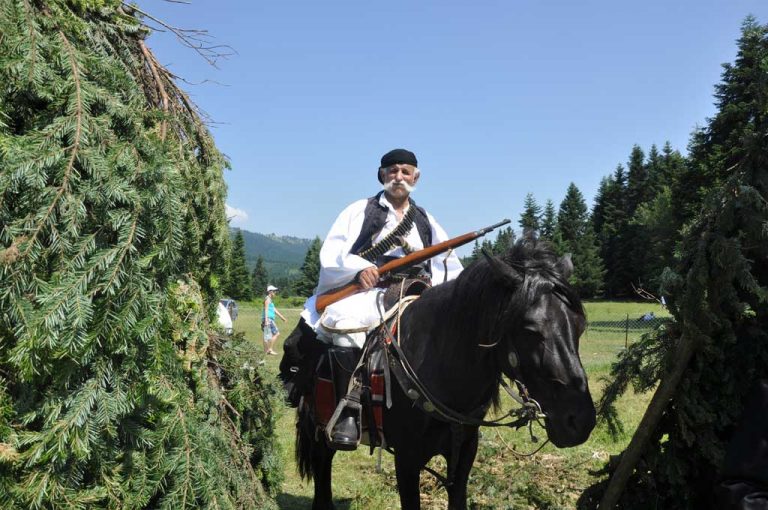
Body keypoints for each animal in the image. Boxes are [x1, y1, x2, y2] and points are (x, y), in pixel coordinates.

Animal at [296, 239, 596, 510]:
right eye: (530, 330)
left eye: (580, 325)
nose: (580, 421)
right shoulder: (407, 459)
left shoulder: (463, 454)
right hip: (320, 426)